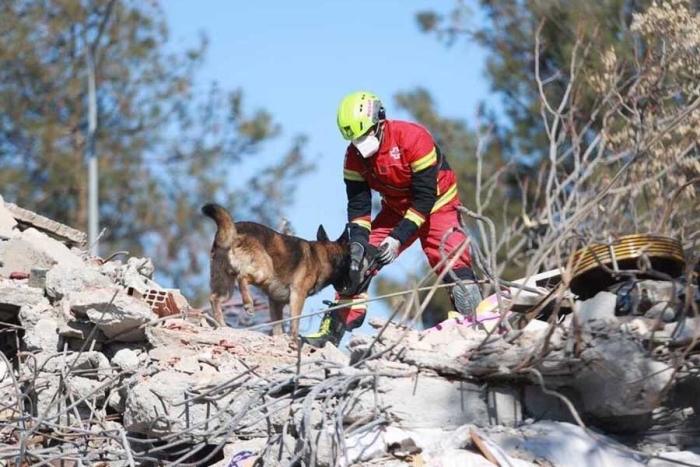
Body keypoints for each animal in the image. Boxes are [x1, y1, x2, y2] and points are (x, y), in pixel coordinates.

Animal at [202, 204, 350, 340]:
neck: (322, 256)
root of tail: (234, 229)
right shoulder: (298, 295)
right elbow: (294, 323)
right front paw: (293, 341)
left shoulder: (276, 302)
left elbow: (278, 327)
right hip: (264, 272)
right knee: (242, 277)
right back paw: (248, 304)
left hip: (226, 287)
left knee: (214, 298)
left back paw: (222, 325)